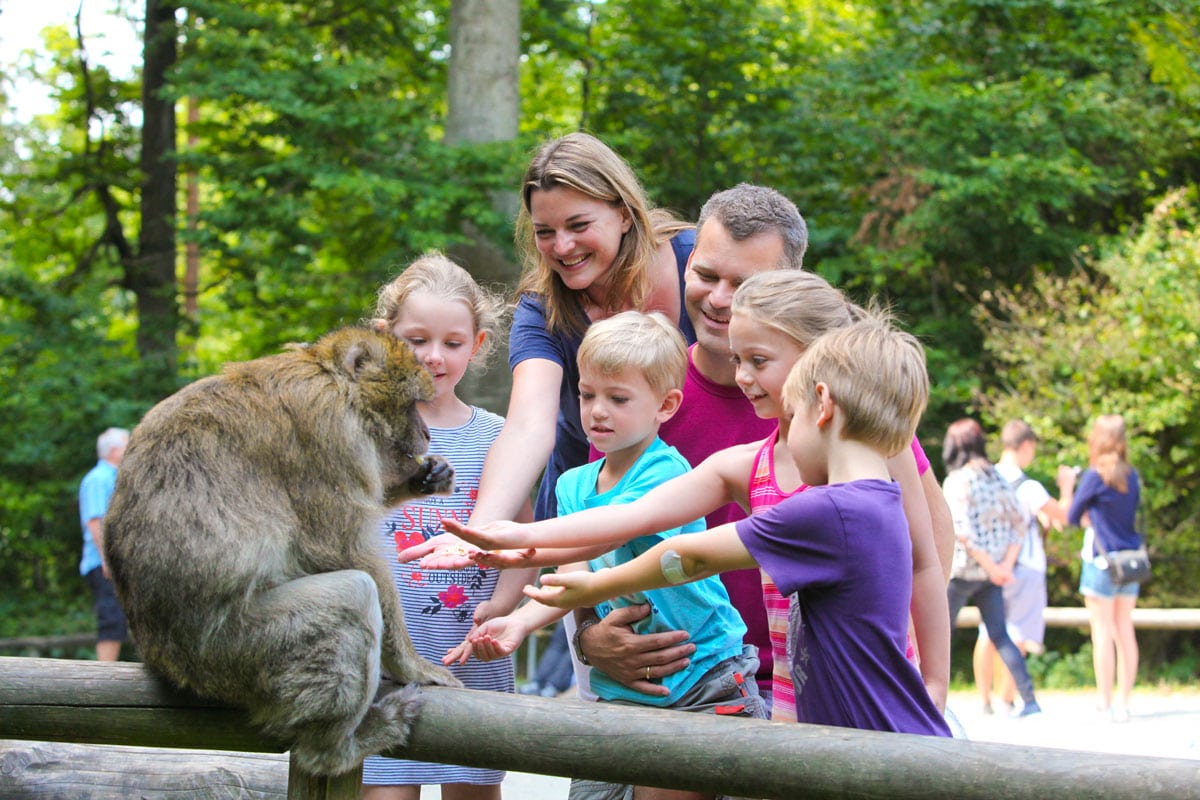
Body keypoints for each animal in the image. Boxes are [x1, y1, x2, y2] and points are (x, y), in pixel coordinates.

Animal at [105, 326, 460, 777]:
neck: (332, 379)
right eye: (413, 403)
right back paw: (338, 747)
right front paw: (413, 665)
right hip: (233, 648)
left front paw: (427, 474)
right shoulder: (329, 433)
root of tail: (161, 655)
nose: (427, 433)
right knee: (352, 597)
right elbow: (345, 551)